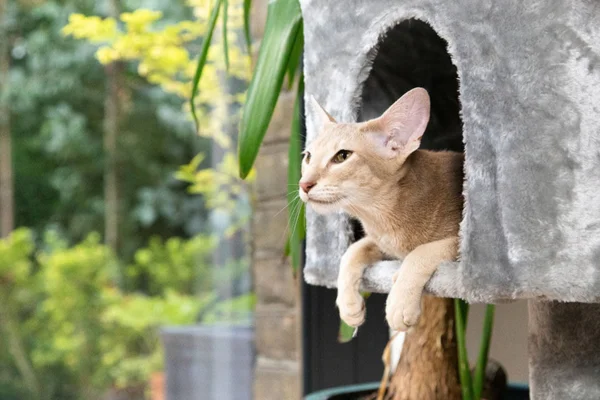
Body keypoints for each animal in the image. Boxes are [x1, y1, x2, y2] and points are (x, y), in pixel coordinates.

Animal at [300, 88, 464, 332]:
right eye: (308, 156)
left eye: (342, 156)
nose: (304, 184)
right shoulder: (382, 242)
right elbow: (352, 251)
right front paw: (349, 305)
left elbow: (420, 252)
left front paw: (399, 303)